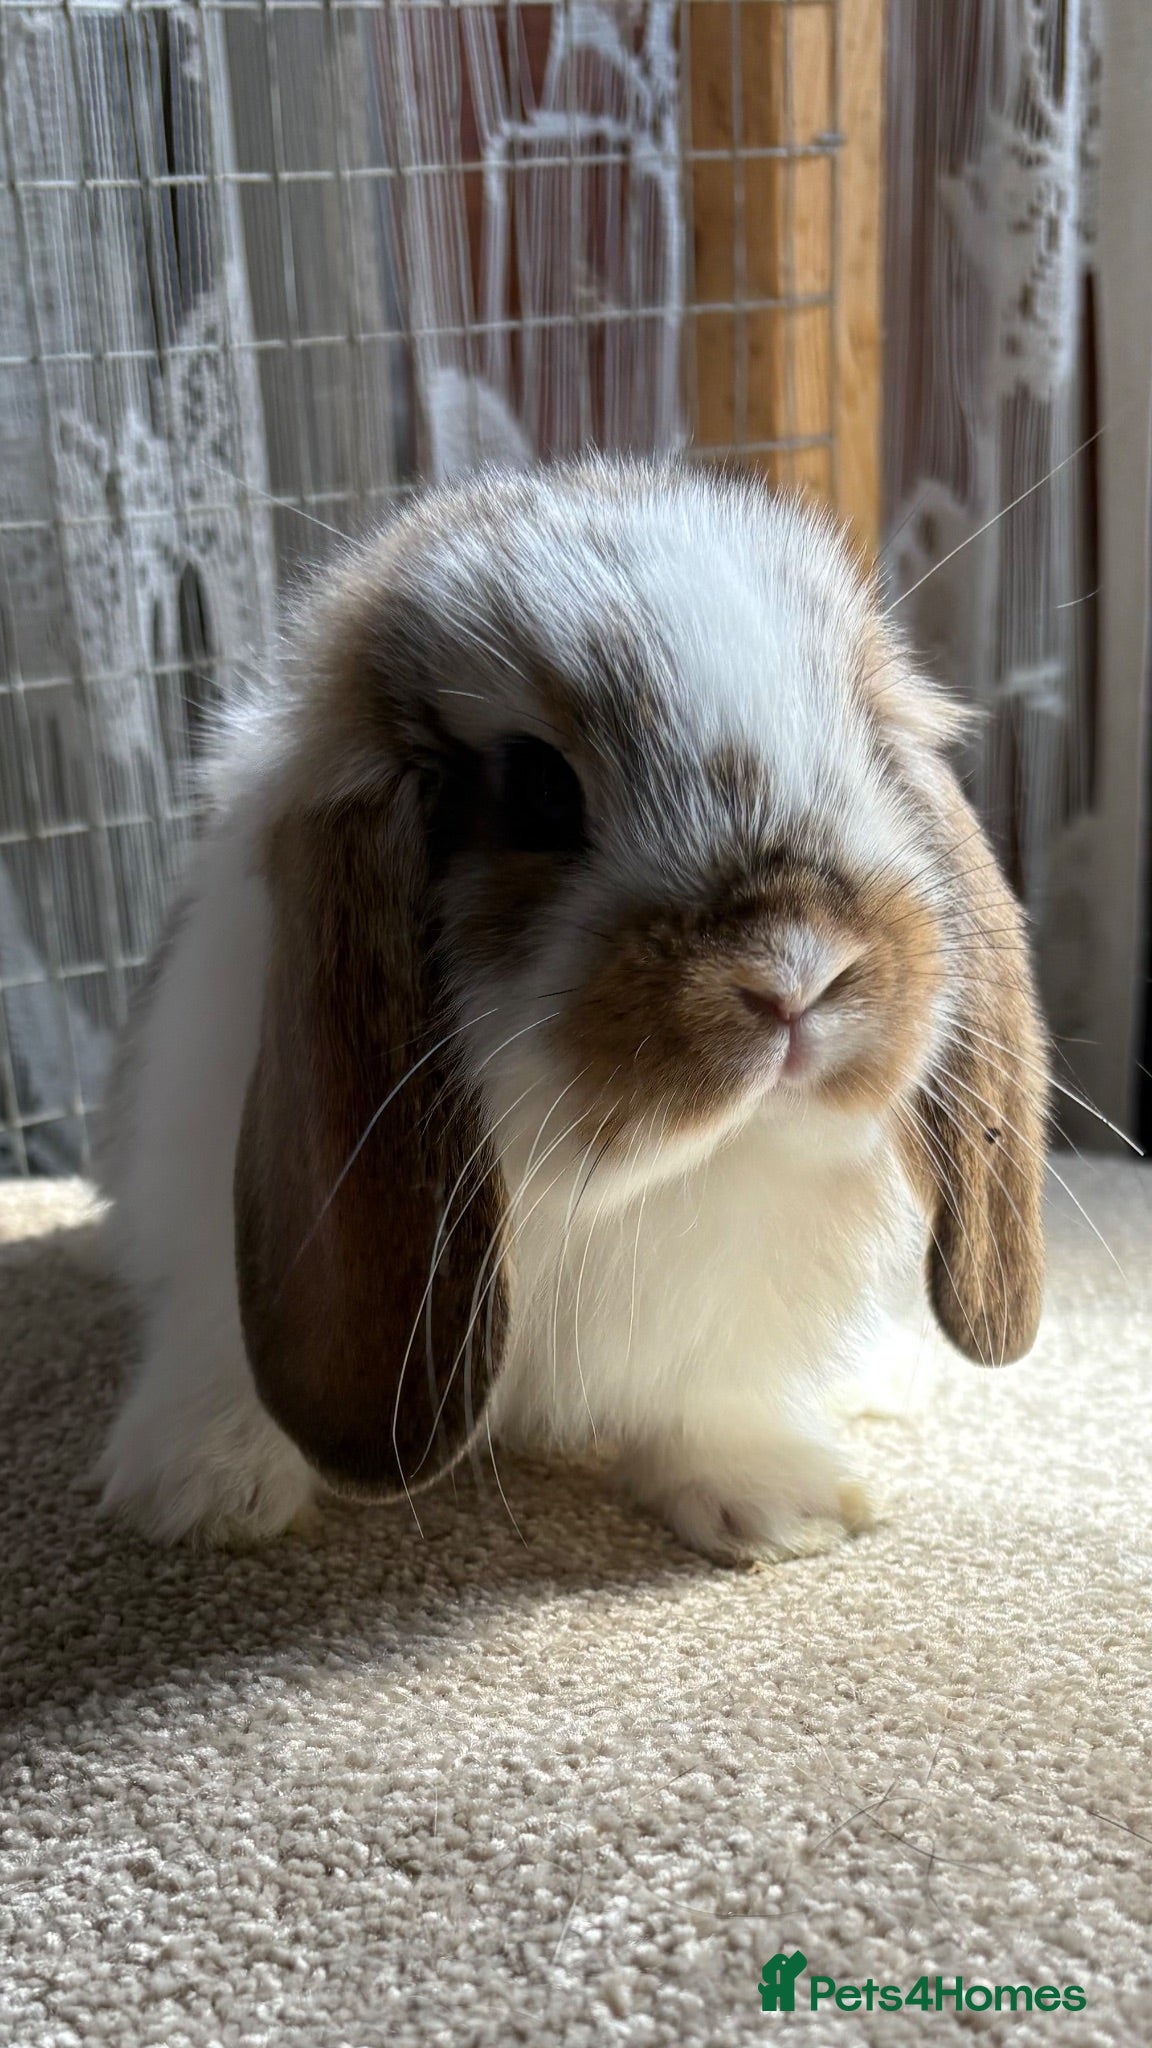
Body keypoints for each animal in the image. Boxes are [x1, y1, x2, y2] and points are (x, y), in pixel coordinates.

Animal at [94, 457, 1049, 1559]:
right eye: (536, 786)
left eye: (861, 745)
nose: (797, 972)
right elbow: (219, 1349)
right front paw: (205, 1494)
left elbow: (707, 1393)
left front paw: (773, 1505)